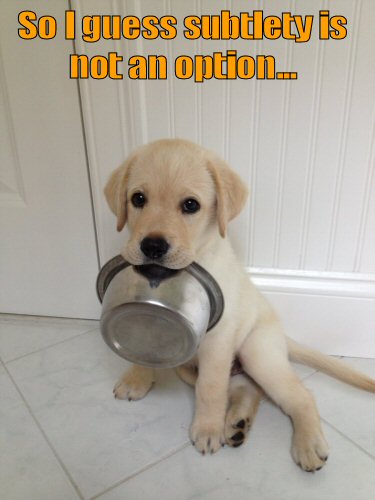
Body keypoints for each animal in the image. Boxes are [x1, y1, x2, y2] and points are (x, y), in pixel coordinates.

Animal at [105, 138, 375, 472]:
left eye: (191, 205)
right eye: (138, 199)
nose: (152, 246)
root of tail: (281, 335)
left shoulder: (218, 340)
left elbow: (210, 389)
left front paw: (207, 429)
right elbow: (143, 348)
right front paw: (137, 379)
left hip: (256, 352)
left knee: (299, 395)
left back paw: (307, 444)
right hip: (193, 368)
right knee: (246, 389)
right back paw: (237, 423)